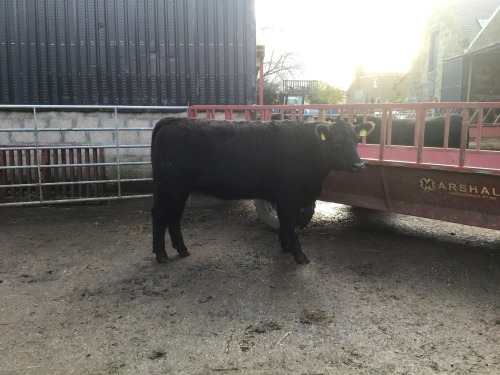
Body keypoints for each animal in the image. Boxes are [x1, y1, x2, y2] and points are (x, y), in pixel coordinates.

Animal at [152, 117, 376, 264]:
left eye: (357, 140)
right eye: (337, 142)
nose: (359, 165)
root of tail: (174, 120)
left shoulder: (284, 198)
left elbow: (286, 224)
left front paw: (285, 246)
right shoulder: (291, 198)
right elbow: (293, 225)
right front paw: (299, 256)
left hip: (178, 190)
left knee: (173, 217)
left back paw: (181, 249)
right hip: (170, 186)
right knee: (161, 215)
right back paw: (161, 254)